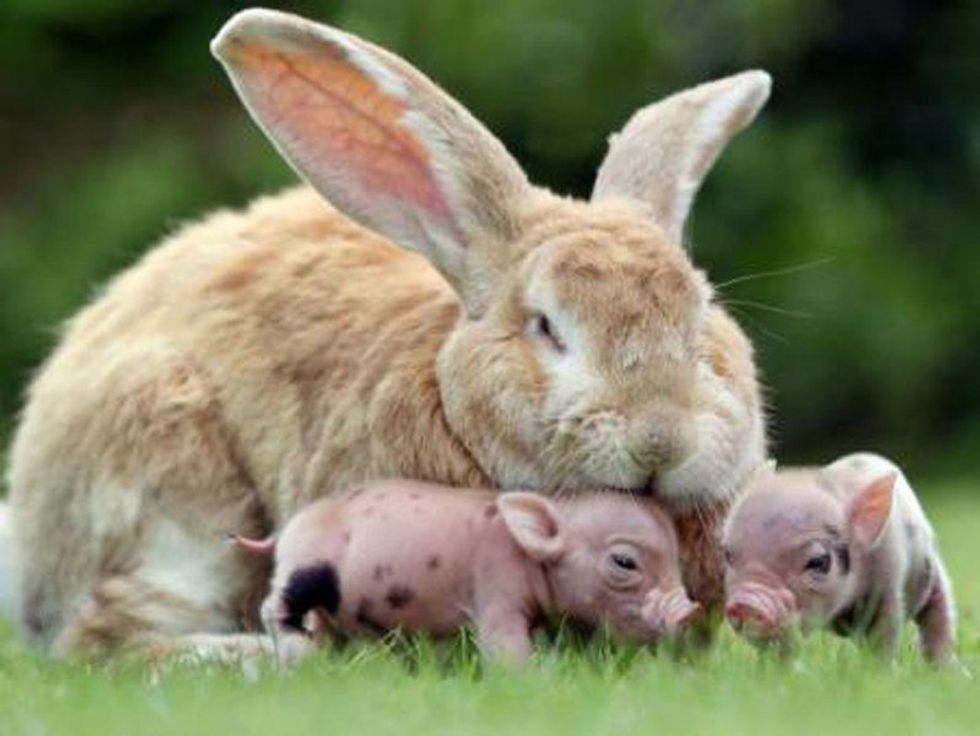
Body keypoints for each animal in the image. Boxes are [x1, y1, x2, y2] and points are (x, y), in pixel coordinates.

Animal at [232, 479, 702, 663]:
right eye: (625, 562)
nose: (689, 612)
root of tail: (289, 526)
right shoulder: (494, 587)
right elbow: (503, 645)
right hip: (306, 565)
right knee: (273, 607)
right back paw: (299, 654)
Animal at [722, 453, 956, 663]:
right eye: (727, 554)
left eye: (818, 562)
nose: (747, 602)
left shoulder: (888, 584)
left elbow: (883, 638)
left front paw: (878, 675)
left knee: (939, 618)